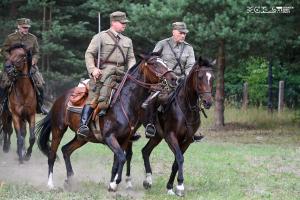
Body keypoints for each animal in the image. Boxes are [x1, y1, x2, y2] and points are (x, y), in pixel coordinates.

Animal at [123, 55, 213, 195]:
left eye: (212, 78)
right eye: (200, 77)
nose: (208, 102)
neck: (185, 107)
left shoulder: (187, 141)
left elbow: (176, 161)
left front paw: (170, 187)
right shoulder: (171, 136)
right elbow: (179, 158)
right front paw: (180, 186)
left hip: (156, 136)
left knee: (145, 151)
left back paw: (148, 180)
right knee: (129, 153)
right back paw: (128, 181)